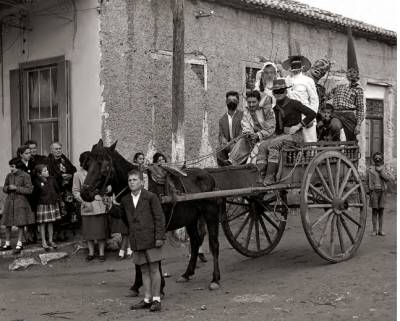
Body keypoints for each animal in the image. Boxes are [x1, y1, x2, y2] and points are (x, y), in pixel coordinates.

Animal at [79, 139, 220, 288]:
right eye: (88, 164)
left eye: (105, 165)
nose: (85, 193)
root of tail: (209, 176)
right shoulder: (132, 227)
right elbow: (137, 254)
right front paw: (137, 284)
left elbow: (155, 255)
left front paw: (160, 285)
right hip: (191, 218)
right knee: (195, 242)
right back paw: (187, 274)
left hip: (211, 214)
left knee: (214, 244)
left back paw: (215, 279)